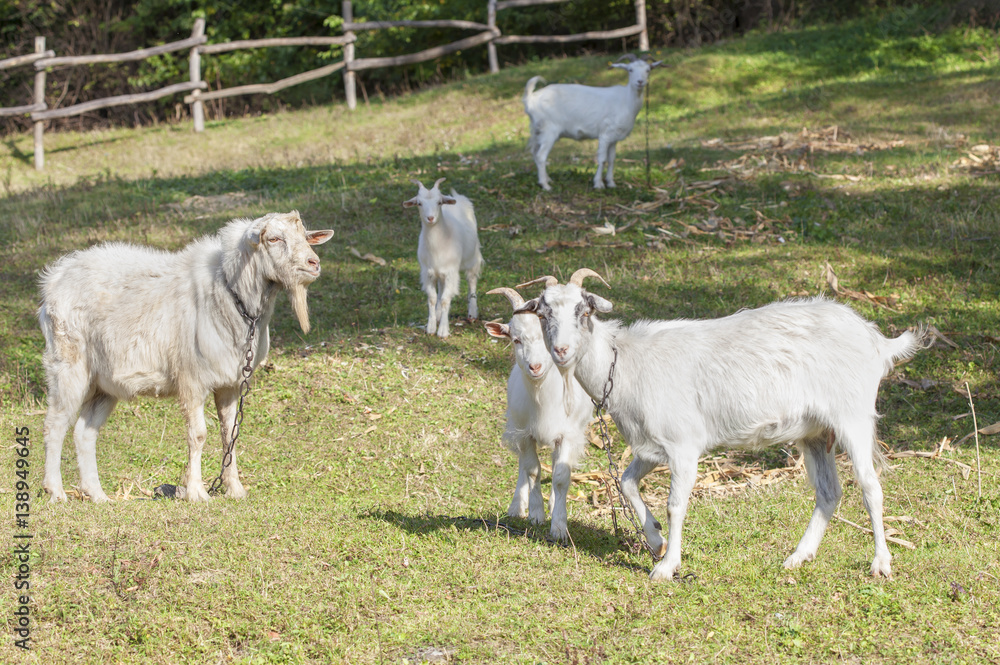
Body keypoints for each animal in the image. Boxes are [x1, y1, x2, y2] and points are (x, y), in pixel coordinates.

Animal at [39, 211, 333, 503]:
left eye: (305, 236)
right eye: (273, 239)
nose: (314, 263)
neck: (228, 293)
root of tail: (55, 278)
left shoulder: (230, 383)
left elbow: (230, 433)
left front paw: (234, 489)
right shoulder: (192, 379)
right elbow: (198, 434)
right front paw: (196, 492)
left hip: (104, 384)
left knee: (84, 433)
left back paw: (98, 495)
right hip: (68, 364)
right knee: (55, 424)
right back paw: (56, 491)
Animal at [403, 178, 484, 338]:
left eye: (439, 202)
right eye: (419, 203)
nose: (430, 218)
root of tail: (456, 196)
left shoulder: (451, 272)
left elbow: (446, 299)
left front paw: (443, 331)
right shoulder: (428, 272)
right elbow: (433, 298)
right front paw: (431, 326)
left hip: (472, 257)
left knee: (472, 280)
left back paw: (472, 313)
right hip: (439, 272)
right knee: (440, 290)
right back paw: (439, 314)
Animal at [485, 287, 593, 541]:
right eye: (516, 339)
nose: (535, 367)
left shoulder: (567, 435)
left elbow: (561, 476)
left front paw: (559, 527)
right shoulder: (524, 434)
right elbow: (532, 471)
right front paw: (535, 515)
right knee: (523, 465)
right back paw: (517, 506)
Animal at [513, 269, 925, 580]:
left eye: (583, 310)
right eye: (544, 313)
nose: (561, 351)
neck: (626, 362)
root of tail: (876, 340)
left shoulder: (683, 445)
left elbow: (675, 505)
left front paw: (666, 567)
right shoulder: (651, 447)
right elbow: (627, 483)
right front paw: (655, 540)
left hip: (853, 416)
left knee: (870, 487)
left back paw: (881, 563)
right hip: (814, 432)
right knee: (829, 492)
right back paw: (798, 556)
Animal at [523, 53, 663, 190]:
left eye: (648, 70)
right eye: (630, 69)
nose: (640, 82)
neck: (626, 100)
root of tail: (530, 99)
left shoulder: (614, 138)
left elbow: (612, 159)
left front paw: (611, 183)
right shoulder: (605, 134)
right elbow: (602, 159)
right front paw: (598, 184)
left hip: (537, 130)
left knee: (535, 153)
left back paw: (547, 180)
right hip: (549, 130)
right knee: (541, 156)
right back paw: (545, 185)